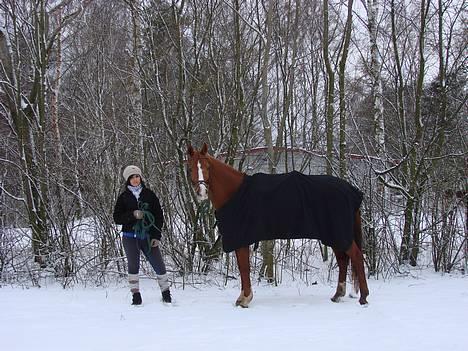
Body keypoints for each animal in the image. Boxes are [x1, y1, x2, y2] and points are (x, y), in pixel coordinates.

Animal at [186, 143, 370, 308]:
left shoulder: (241, 239)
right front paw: (243, 297)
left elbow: (244, 268)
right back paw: (338, 295)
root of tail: (350, 190)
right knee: (343, 260)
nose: (201, 191)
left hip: (339, 234)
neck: (235, 193)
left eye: (207, 166)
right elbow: (242, 267)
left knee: (356, 256)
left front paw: (245, 299)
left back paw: (363, 298)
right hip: (333, 236)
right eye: (190, 168)